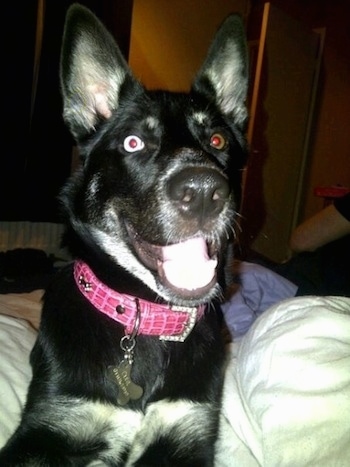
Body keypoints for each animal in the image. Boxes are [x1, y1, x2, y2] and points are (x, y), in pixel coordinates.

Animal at [0, 2, 247, 464]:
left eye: (218, 140)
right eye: (133, 142)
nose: (204, 191)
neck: (145, 317)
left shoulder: (187, 430)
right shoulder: (51, 425)